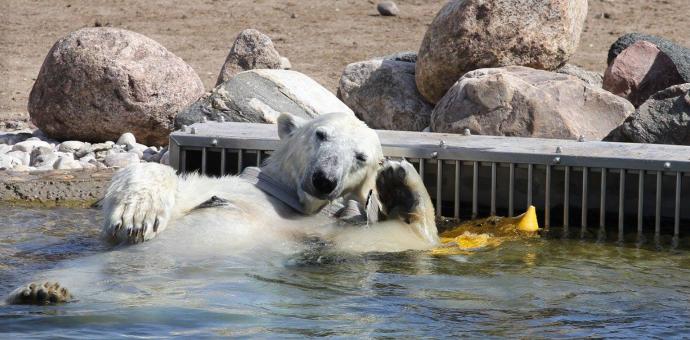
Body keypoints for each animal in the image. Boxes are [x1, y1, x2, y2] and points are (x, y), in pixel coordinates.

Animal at [4, 113, 436, 304]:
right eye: (321, 134)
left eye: (361, 157)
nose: (324, 179)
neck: (290, 203)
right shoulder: (227, 187)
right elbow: (170, 183)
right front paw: (137, 215)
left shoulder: (325, 233)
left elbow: (388, 239)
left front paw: (397, 181)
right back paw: (41, 289)